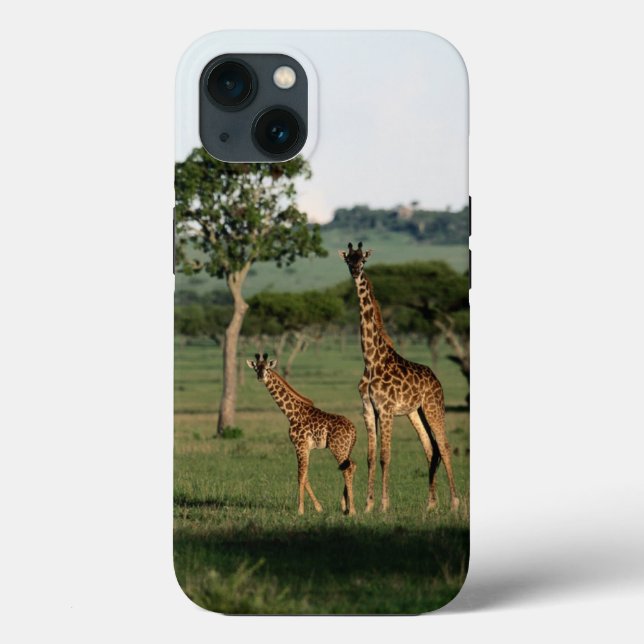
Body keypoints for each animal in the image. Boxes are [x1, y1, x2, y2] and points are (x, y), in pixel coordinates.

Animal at [246, 353, 358, 515]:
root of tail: (354, 430)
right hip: (347, 448)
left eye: (267, 368)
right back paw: (345, 506)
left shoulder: (299, 445)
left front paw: (300, 510)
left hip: (338, 448)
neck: (292, 414)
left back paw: (352, 510)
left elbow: (300, 476)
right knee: (352, 465)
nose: (260, 377)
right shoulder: (306, 448)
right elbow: (306, 476)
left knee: (347, 469)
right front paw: (318, 507)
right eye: (256, 368)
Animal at [338, 242, 460, 512]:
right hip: (416, 412)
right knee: (430, 448)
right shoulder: (368, 409)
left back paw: (455, 503)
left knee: (444, 446)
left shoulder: (386, 410)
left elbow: (385, 456)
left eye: (363, 260)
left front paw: (384, 505)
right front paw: (368, 506)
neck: (370, 360)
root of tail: (437, 379)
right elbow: (371, 457)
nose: (355, 271)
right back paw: (430, 504)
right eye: (349, 259)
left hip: (434, 407)